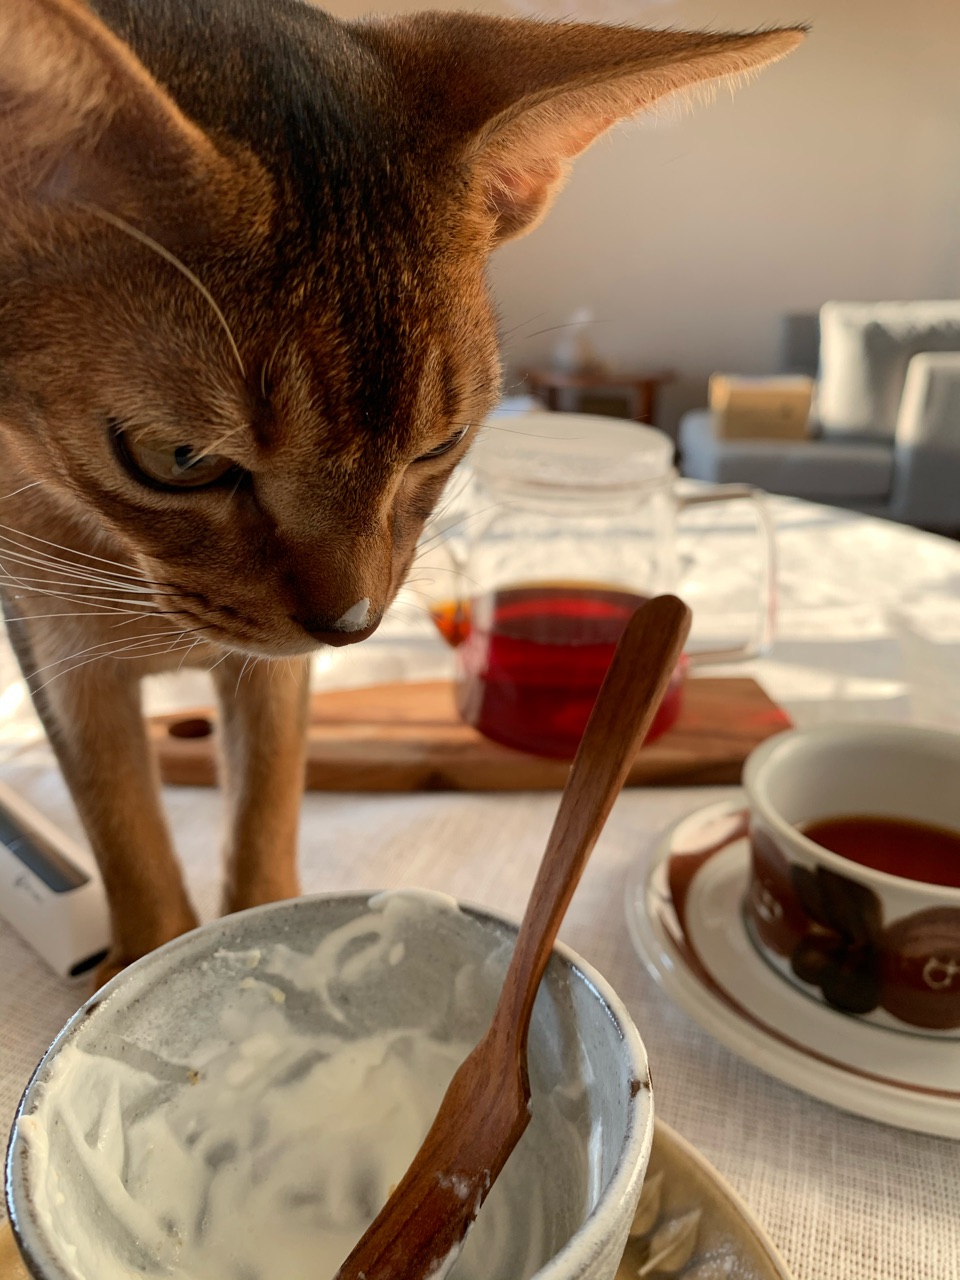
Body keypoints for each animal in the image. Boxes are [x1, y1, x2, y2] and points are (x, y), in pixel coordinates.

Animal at [0, 0, 804, 982]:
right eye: (177, 457)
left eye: (441, 445)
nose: (351, 623)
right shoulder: (56, 646)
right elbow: (122, 827)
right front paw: (150, 955)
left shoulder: (272, 673)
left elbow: (266, 801)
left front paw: (262, 920)